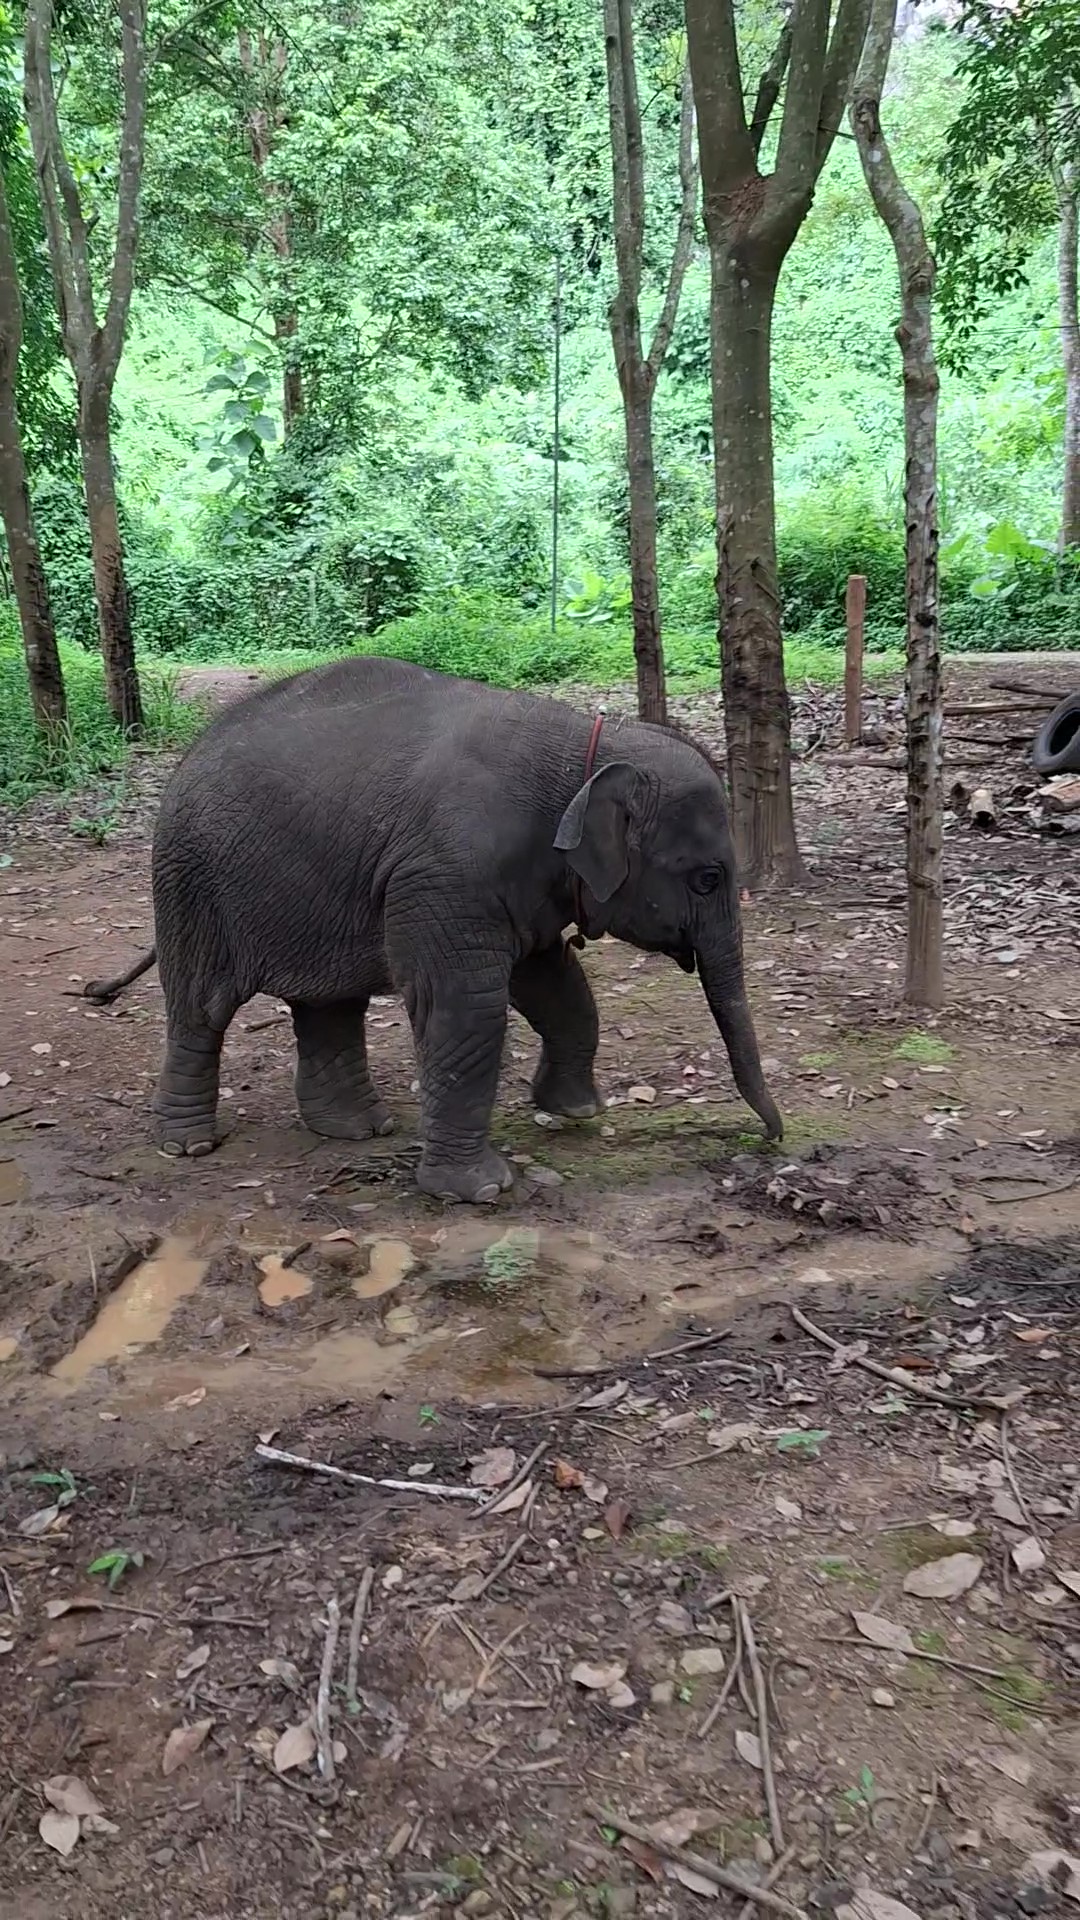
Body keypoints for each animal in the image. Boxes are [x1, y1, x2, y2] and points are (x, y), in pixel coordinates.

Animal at [86, 656, 782, 1202]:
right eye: (708, 879)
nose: (773, 1140)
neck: (591, 744)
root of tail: (186, 756)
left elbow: (553, 979)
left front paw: (576, 1112)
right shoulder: (449, 871)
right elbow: (467, 1004)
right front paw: (482, 1190)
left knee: (329, 1004)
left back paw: (359, 1130)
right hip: (191, 882)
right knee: (202, 1007)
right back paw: (189, 1147)